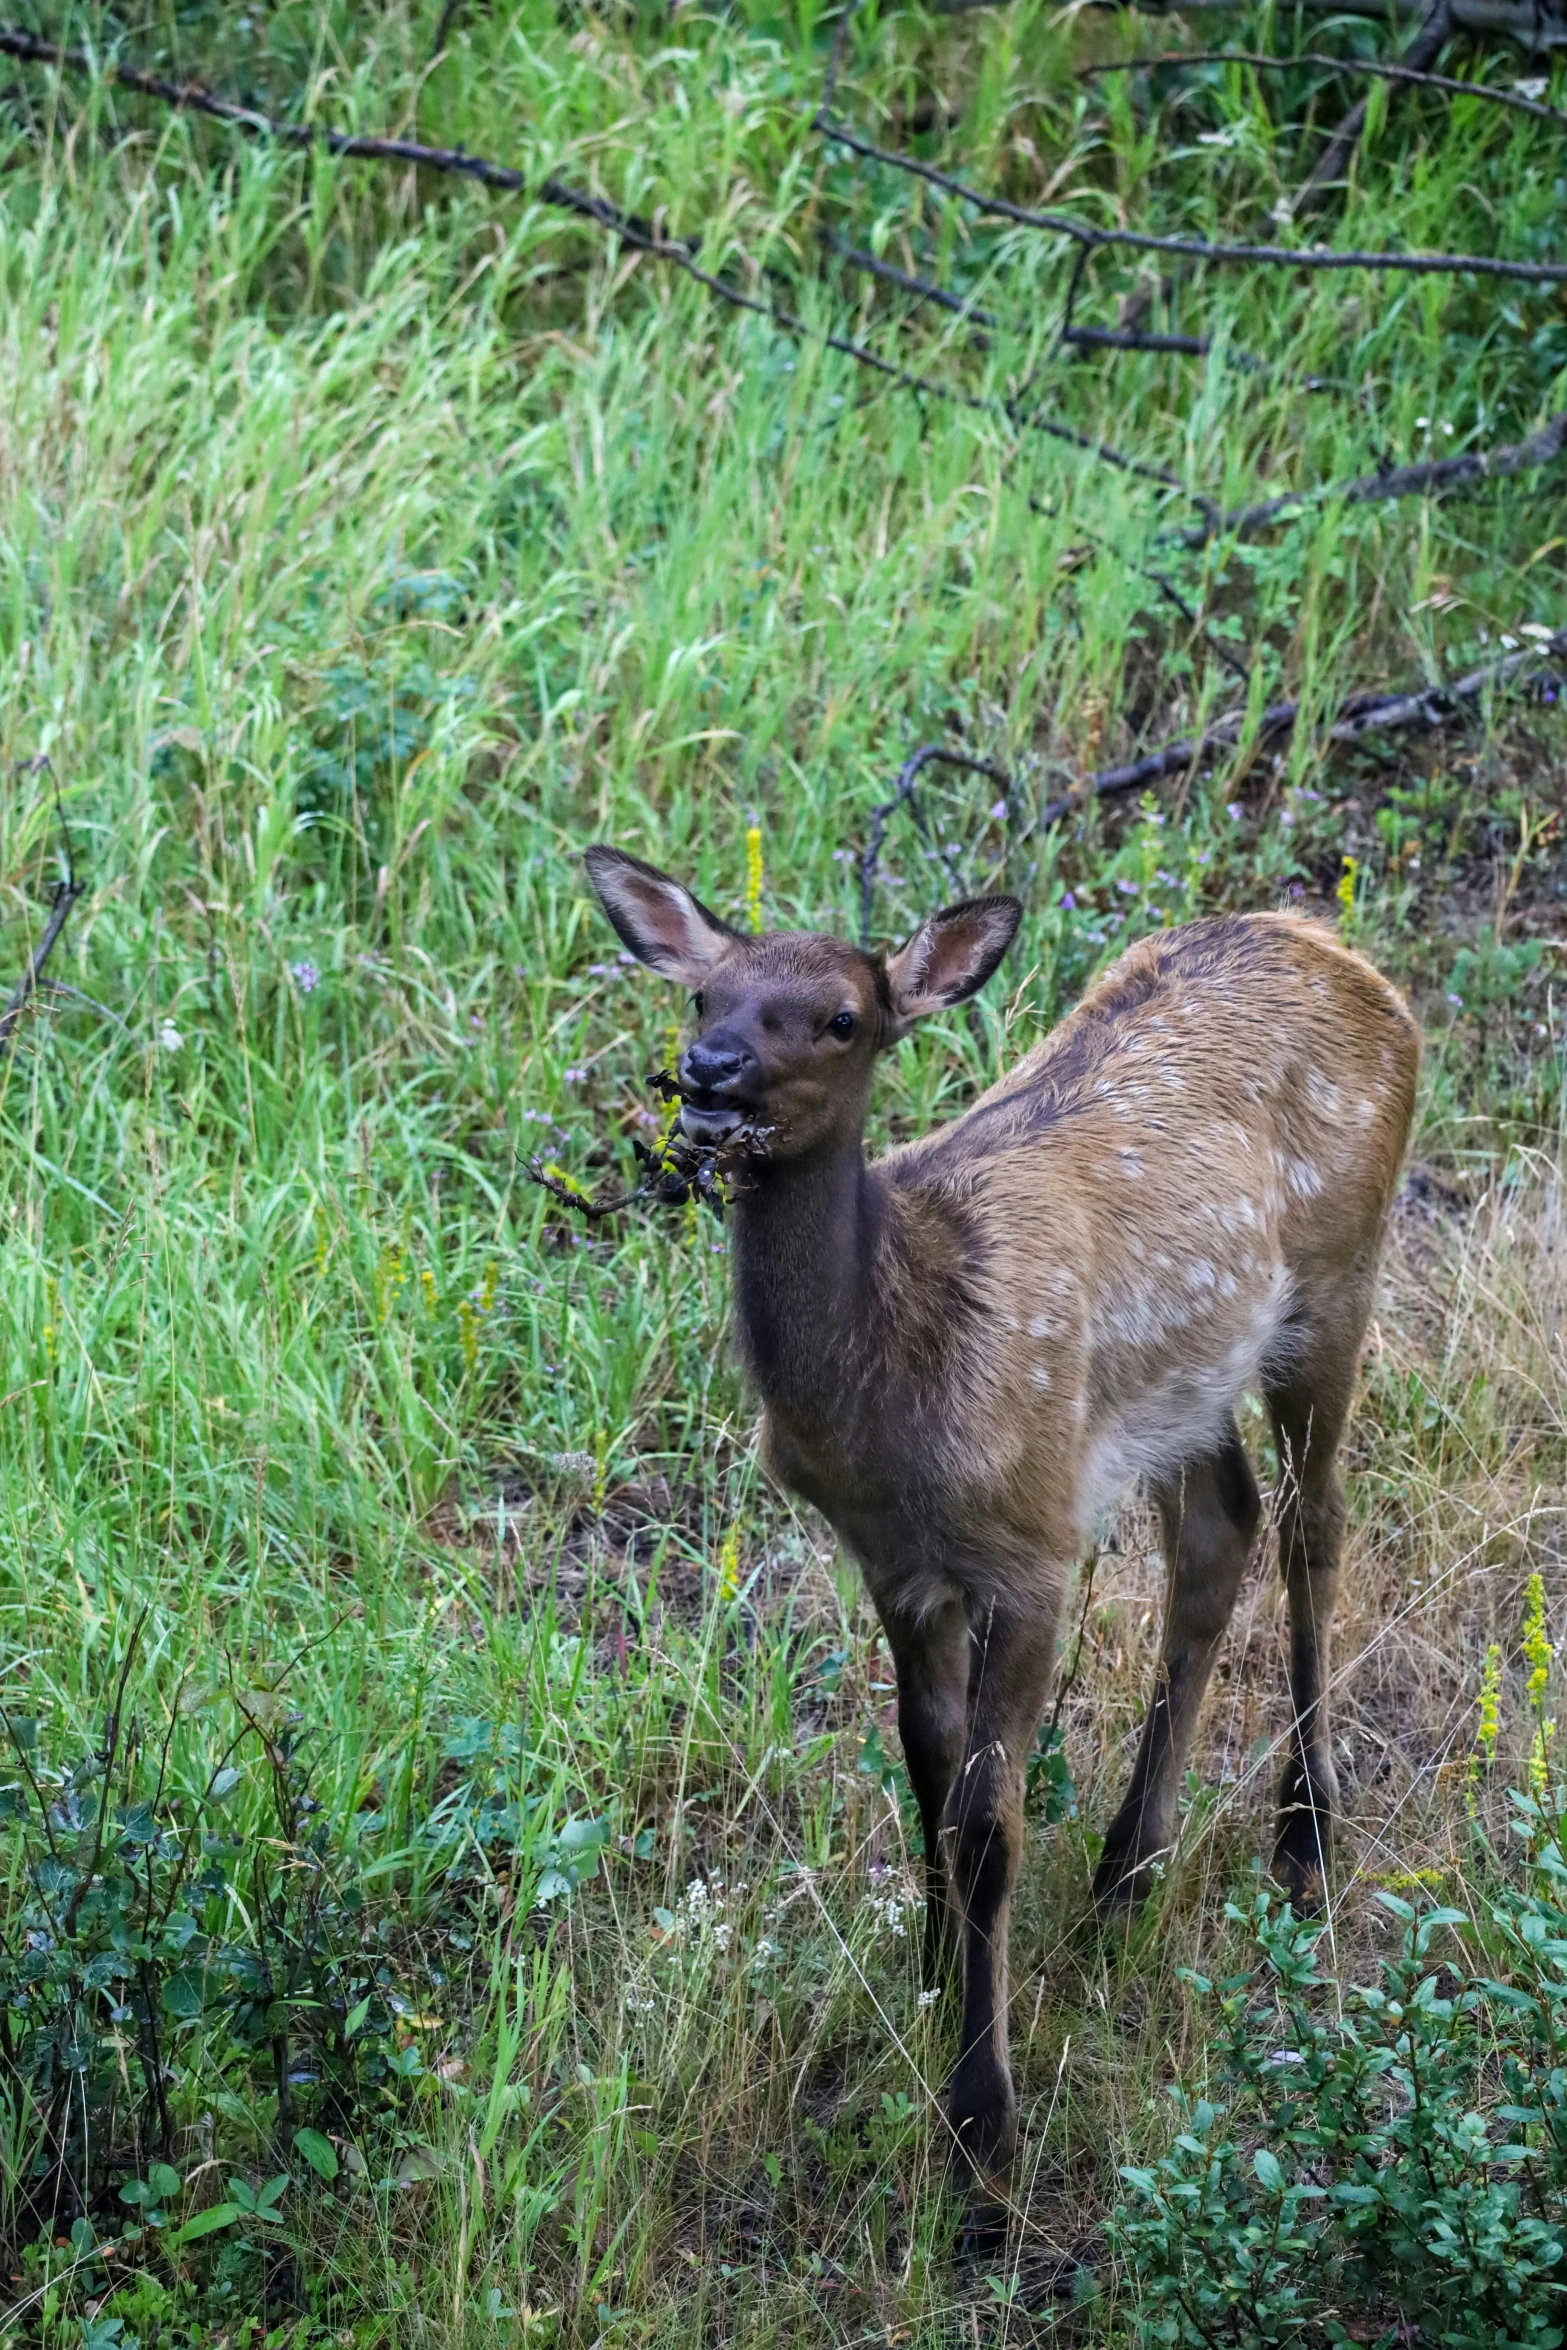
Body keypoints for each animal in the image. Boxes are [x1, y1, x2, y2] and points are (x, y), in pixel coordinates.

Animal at [584, 841, 1418, 2218]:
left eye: (842, 1018)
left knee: (1318, 1525)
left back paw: (1303, 1836)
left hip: (1338, 1275)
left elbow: (988, 1821)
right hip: (1172, 1394)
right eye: (703, 992)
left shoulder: (1031, 1543)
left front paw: (982, 2122)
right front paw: (931, 1970)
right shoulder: (897, 1560)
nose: (709, 1076)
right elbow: (924, 1764)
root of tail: (1350, 960)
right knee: (1222, 1528)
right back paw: (1129, 1868)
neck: (895, 1390)